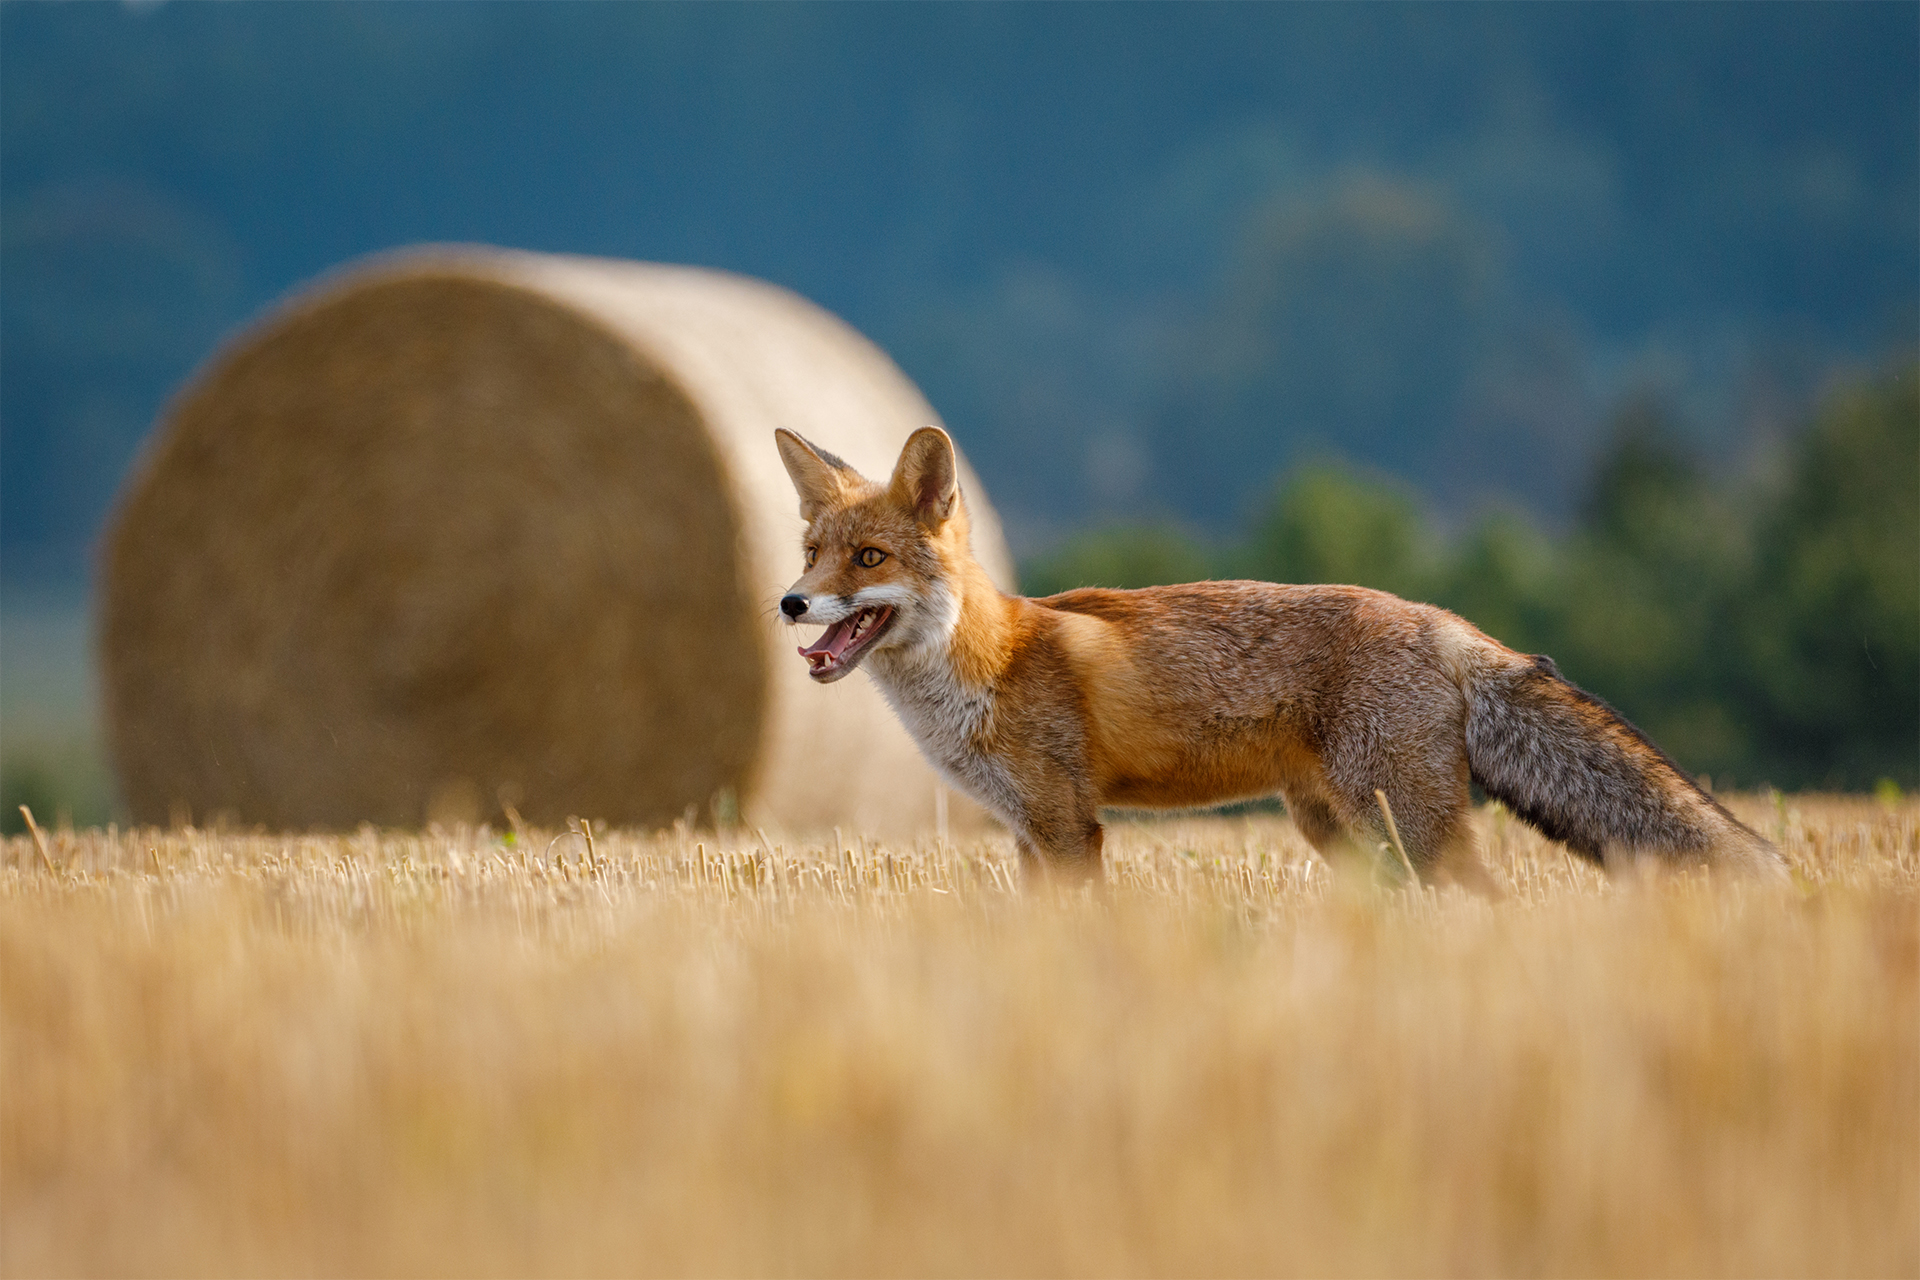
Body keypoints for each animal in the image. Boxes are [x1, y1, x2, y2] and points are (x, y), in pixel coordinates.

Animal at [774, 425, 1787, 888]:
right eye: (812, 553)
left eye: (870, 560)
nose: (787, 603)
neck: (986, 666)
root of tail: (1439, 618)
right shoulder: (1029, 835)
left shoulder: (1067, 827)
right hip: (1342, 834)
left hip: (1404, 828)